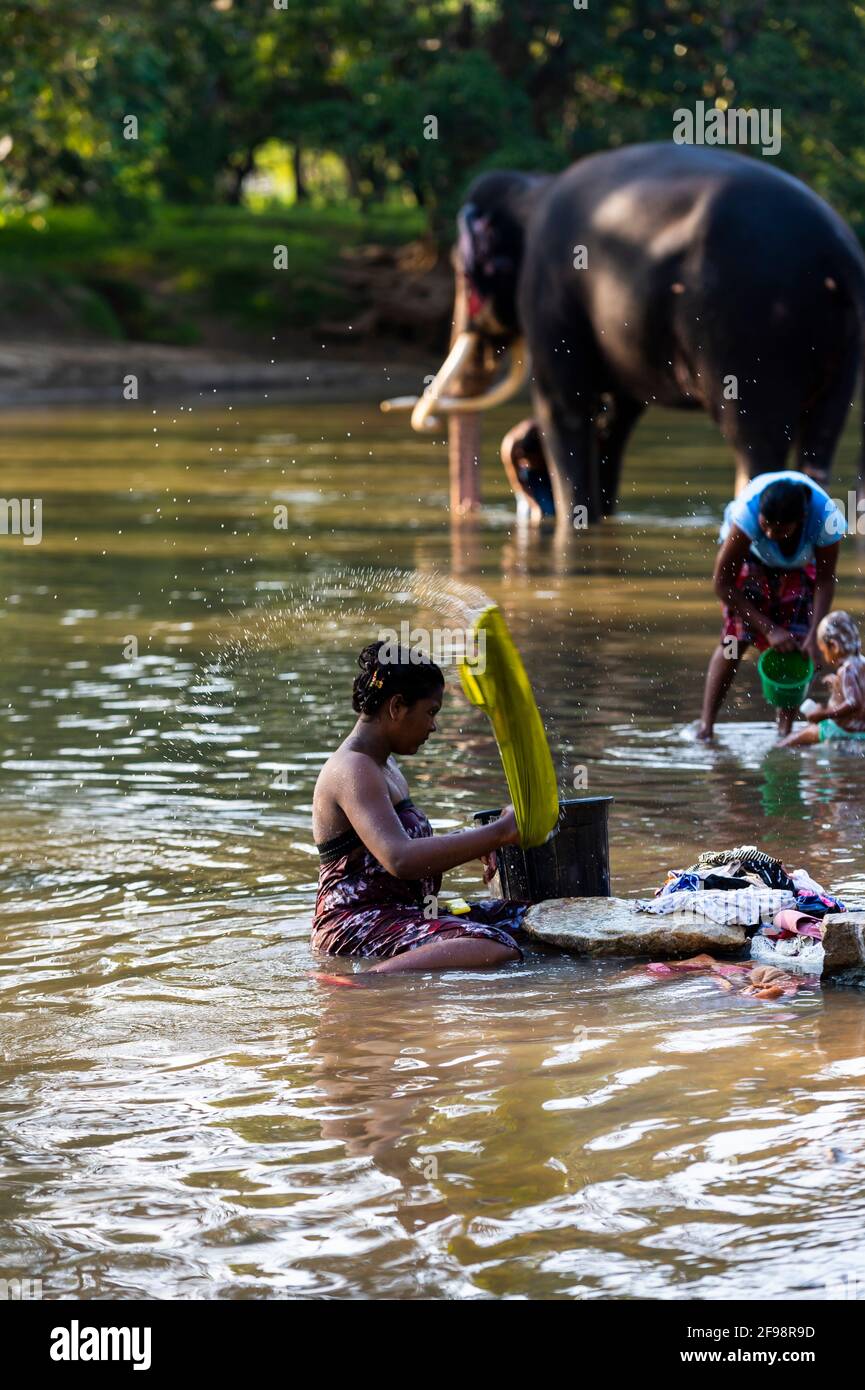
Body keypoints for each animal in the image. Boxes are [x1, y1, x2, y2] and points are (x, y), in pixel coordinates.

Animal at [403, 143, 865, 525]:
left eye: (463, 273)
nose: (469, 511)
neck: (531, 186)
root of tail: (841, 256)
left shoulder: (547, 294)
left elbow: (564, 405)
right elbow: (616, 417)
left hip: (749, 332)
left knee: (756, 447)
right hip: (841, 351)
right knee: (818, 446)